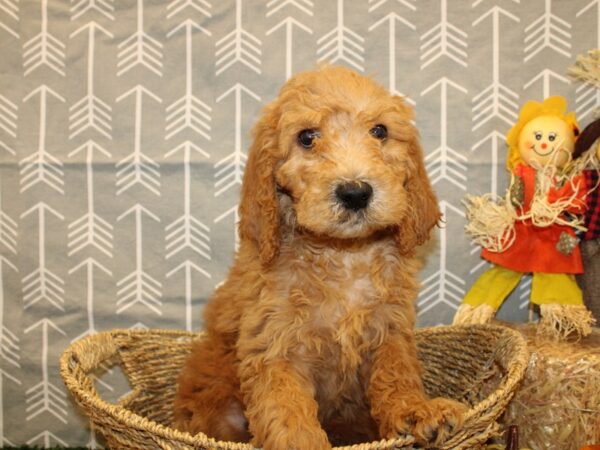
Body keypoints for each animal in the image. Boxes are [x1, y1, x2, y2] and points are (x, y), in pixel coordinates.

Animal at [175, 65, 468, 448]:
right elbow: (287, 413)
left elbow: (397, 375)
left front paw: (416, 410)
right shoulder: (275, 347)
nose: (355, 192)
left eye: (380, 131)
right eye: (306, 137)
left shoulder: (389, 329)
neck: (343, 253)